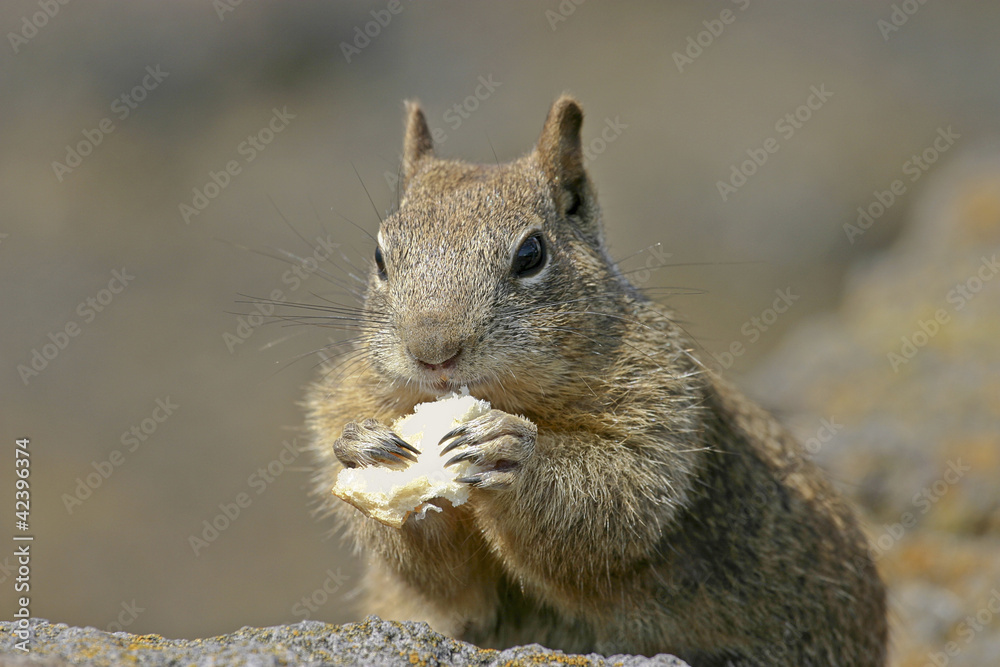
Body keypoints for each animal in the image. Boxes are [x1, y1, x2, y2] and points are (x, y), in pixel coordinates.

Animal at [305, 95, 888, 666]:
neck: (510, 397)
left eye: (531, 254)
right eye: (380, 256)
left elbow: (616, 501)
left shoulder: (661, 408)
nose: (432, 352)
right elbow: (443, 579)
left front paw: (511, 451)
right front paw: (362, 446)